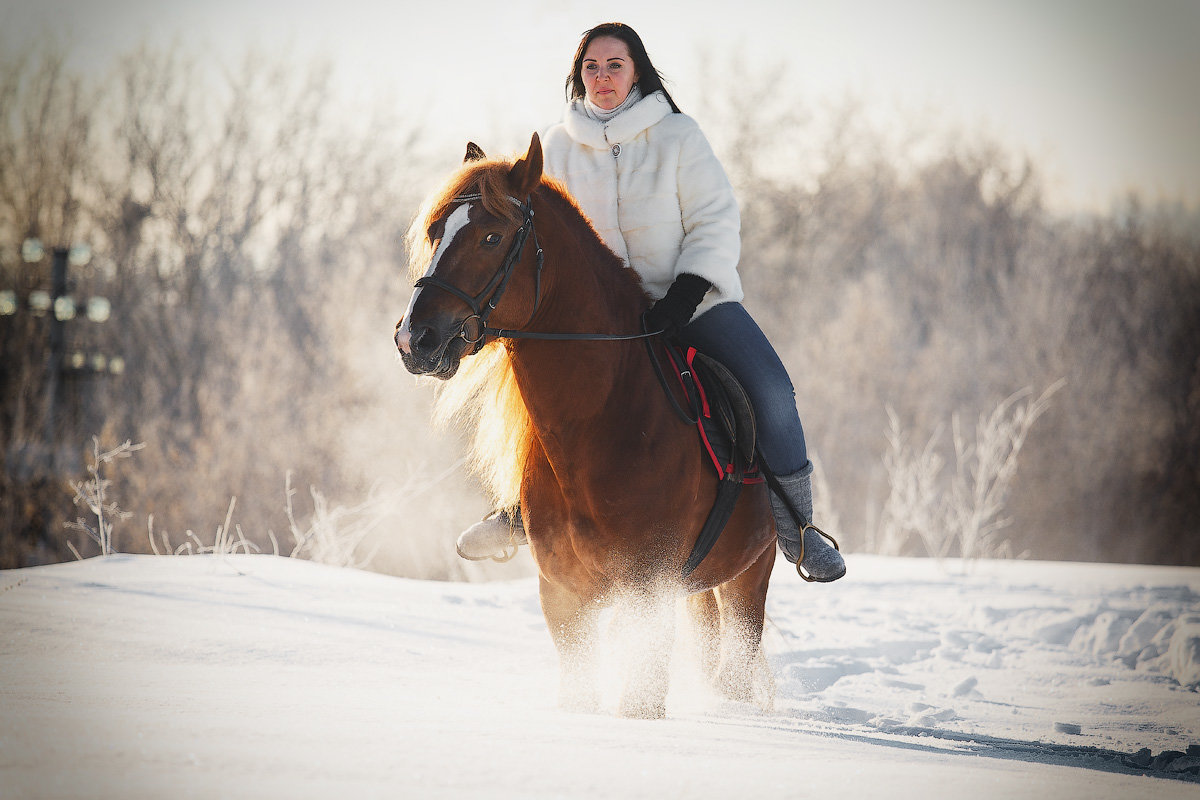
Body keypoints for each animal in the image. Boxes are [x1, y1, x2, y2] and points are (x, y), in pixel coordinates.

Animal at [396, 131, 777, 719]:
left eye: (491, 236)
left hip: (748, 580)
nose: (415, 338)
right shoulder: (564, 596)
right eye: (436, 232)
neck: (601, 426)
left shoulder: (647, 593)